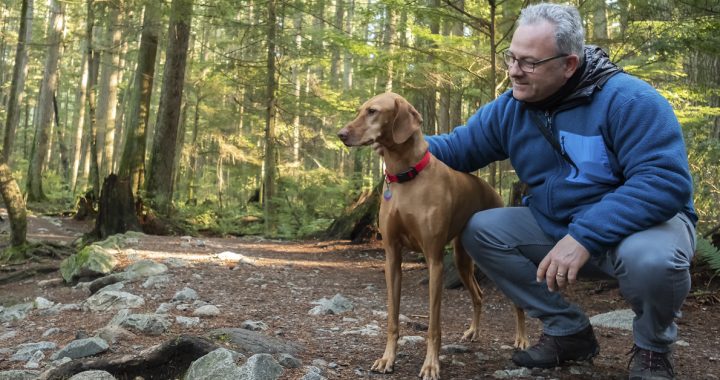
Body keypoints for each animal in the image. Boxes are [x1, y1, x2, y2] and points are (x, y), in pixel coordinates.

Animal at [338, 93, 528, 380]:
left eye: (373, 111)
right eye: (360, 110)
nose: (341, 134)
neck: (406, 177)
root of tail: (493, 191)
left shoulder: (434, 262)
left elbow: (433, 327)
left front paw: (430, 365)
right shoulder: (392, 258)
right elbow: (392, 319)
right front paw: (387, 358)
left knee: (517, 302)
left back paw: (522, 338)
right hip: (462, 260)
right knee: (478, 295)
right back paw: (473, 331)